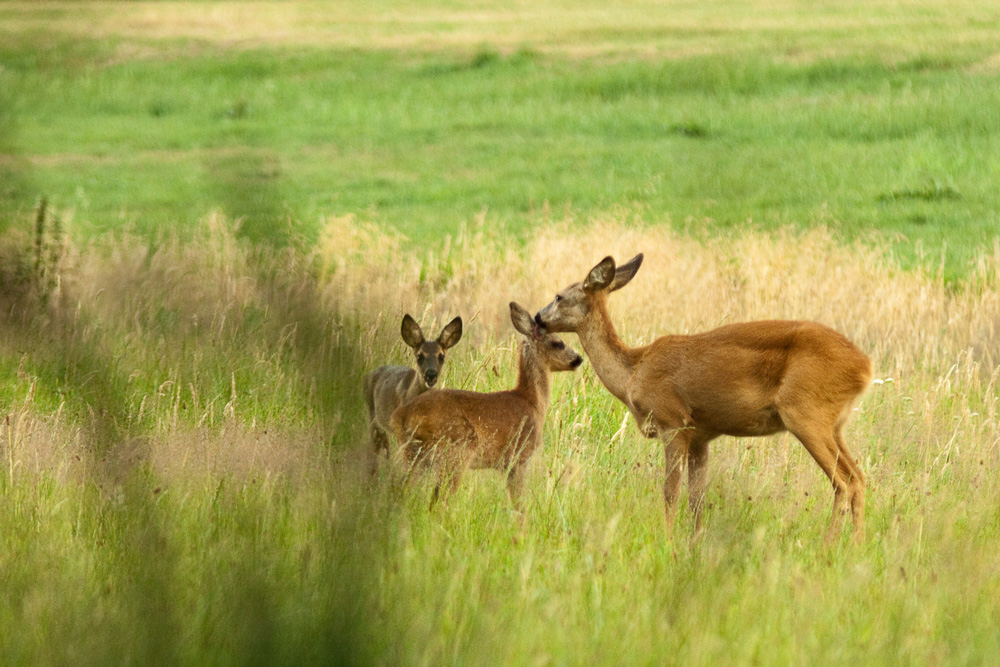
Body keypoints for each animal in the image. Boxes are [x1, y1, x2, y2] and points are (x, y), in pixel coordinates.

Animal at [386, 300, 584, 508]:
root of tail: (400, 416)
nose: (578, 359)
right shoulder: (518, 458)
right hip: (455, 452)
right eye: (558, 343)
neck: (532, 402)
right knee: (439, 500)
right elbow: (519, 506)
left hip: (413, 455)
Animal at [536, 256, 872, 544]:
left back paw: (828, 545)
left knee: (843, 481)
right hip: (834, 423)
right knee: (859, 477)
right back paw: (856, 545)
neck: (634, 371)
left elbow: (670, 491)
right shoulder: (701, 435)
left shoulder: (672, 421)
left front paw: (668, 541)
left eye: (559, 296)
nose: (538, 316)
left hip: (805, 412)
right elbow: (697, 497)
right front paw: (694, 543)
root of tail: (865, 366)